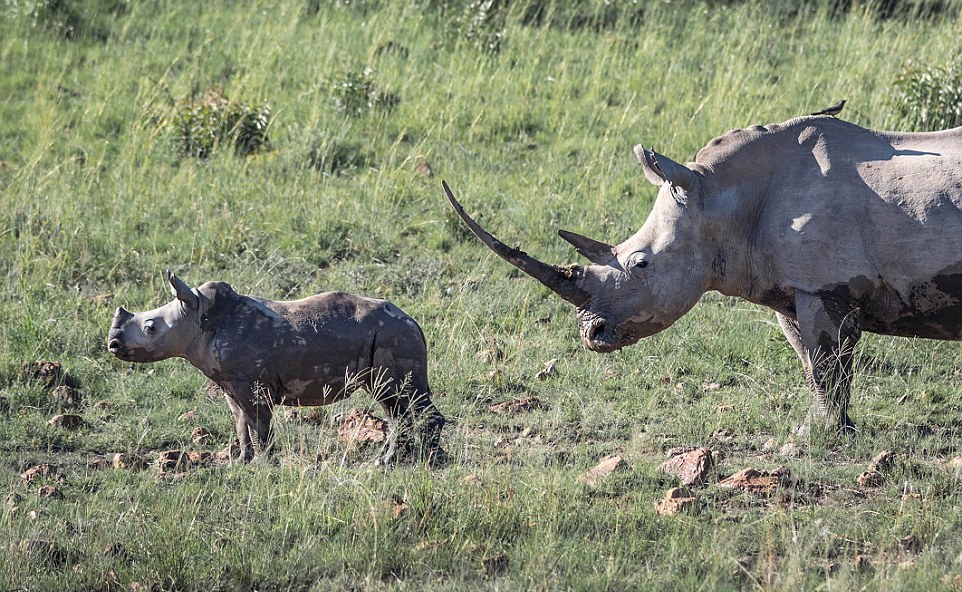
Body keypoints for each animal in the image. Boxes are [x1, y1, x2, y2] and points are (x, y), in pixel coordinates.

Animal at [107, 270, 444, 464]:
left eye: (150, 327)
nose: (112, 343)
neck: (199, 317)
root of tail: (414, 322)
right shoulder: (230, 384)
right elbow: (241, 424)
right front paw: (241, 463)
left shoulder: (251, 383)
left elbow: (259, 425)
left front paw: (262, 466)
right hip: (391, 336)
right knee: (395, 404)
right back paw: (408, 460)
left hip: (394, 336)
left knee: (398, 398)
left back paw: (414, 462)